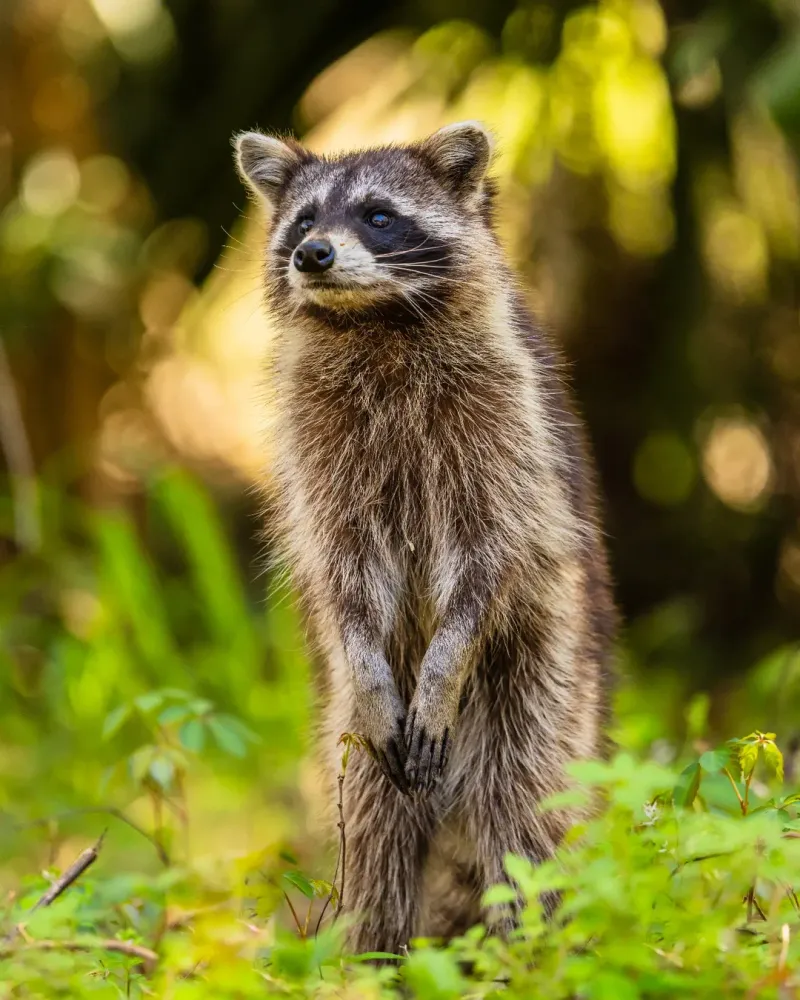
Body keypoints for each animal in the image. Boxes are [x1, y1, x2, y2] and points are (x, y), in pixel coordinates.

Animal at [234, 122, 616, 952]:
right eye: (303, 220)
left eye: (378, 216)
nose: (313, 255)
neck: (374, 319)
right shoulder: (320, 445)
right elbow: (343, 568)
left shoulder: (505, 420)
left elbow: (490, 556)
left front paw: (447, 657)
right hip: (351, 722)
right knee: (373, 818)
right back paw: (373, 953)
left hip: (543, 670)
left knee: (523, 802)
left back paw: (529, 948)